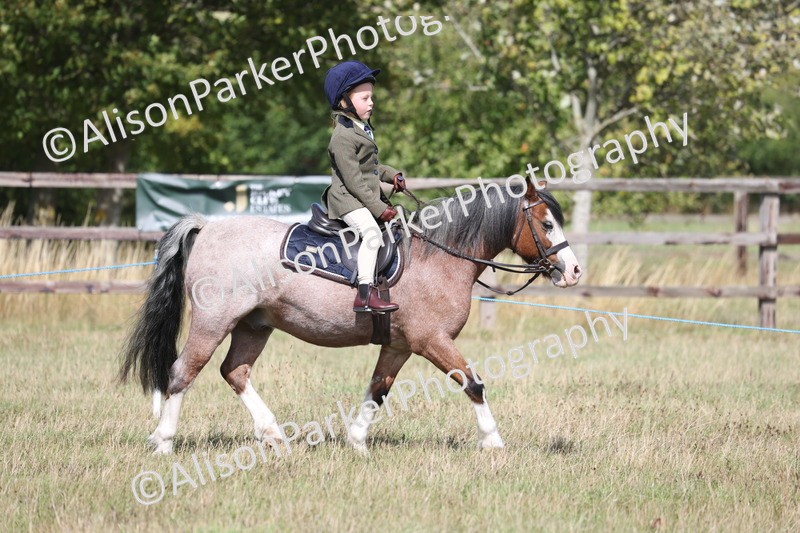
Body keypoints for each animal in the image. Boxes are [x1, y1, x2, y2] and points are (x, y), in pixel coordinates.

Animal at [119, 177, 582, 454]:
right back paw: (164, 441)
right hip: (214, 322)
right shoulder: (432, 341)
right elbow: (473, 383)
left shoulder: (399, 346)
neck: (438, 255)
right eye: (546, 224)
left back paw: (273, 435)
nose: (574, 270)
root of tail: (208, 227)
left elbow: (378, 391)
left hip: (255, 325)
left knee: (234, 372)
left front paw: (357, 442)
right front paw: (493, 441)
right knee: (183, 371)